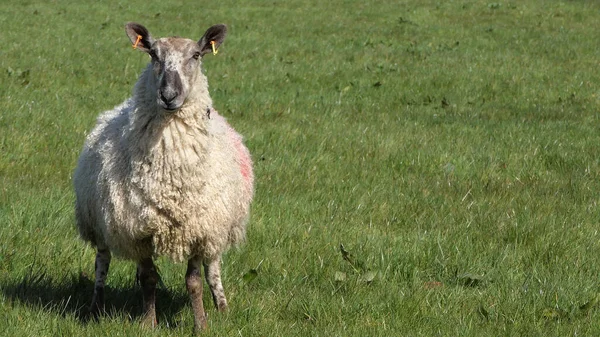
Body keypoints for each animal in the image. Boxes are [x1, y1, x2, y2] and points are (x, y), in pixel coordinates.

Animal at [74, 21, 254, 330]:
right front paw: (149, 323)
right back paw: (96, 306)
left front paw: (201, 325)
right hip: (99, 222)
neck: (171, 180)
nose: (168, 95)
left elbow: (194, 282)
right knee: (101, 263)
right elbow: (149, 279)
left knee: (213, 267)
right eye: (153, 55)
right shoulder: (139, 230)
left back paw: (222, 306)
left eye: (196, 55)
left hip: (216, 226)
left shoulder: (199, 229)